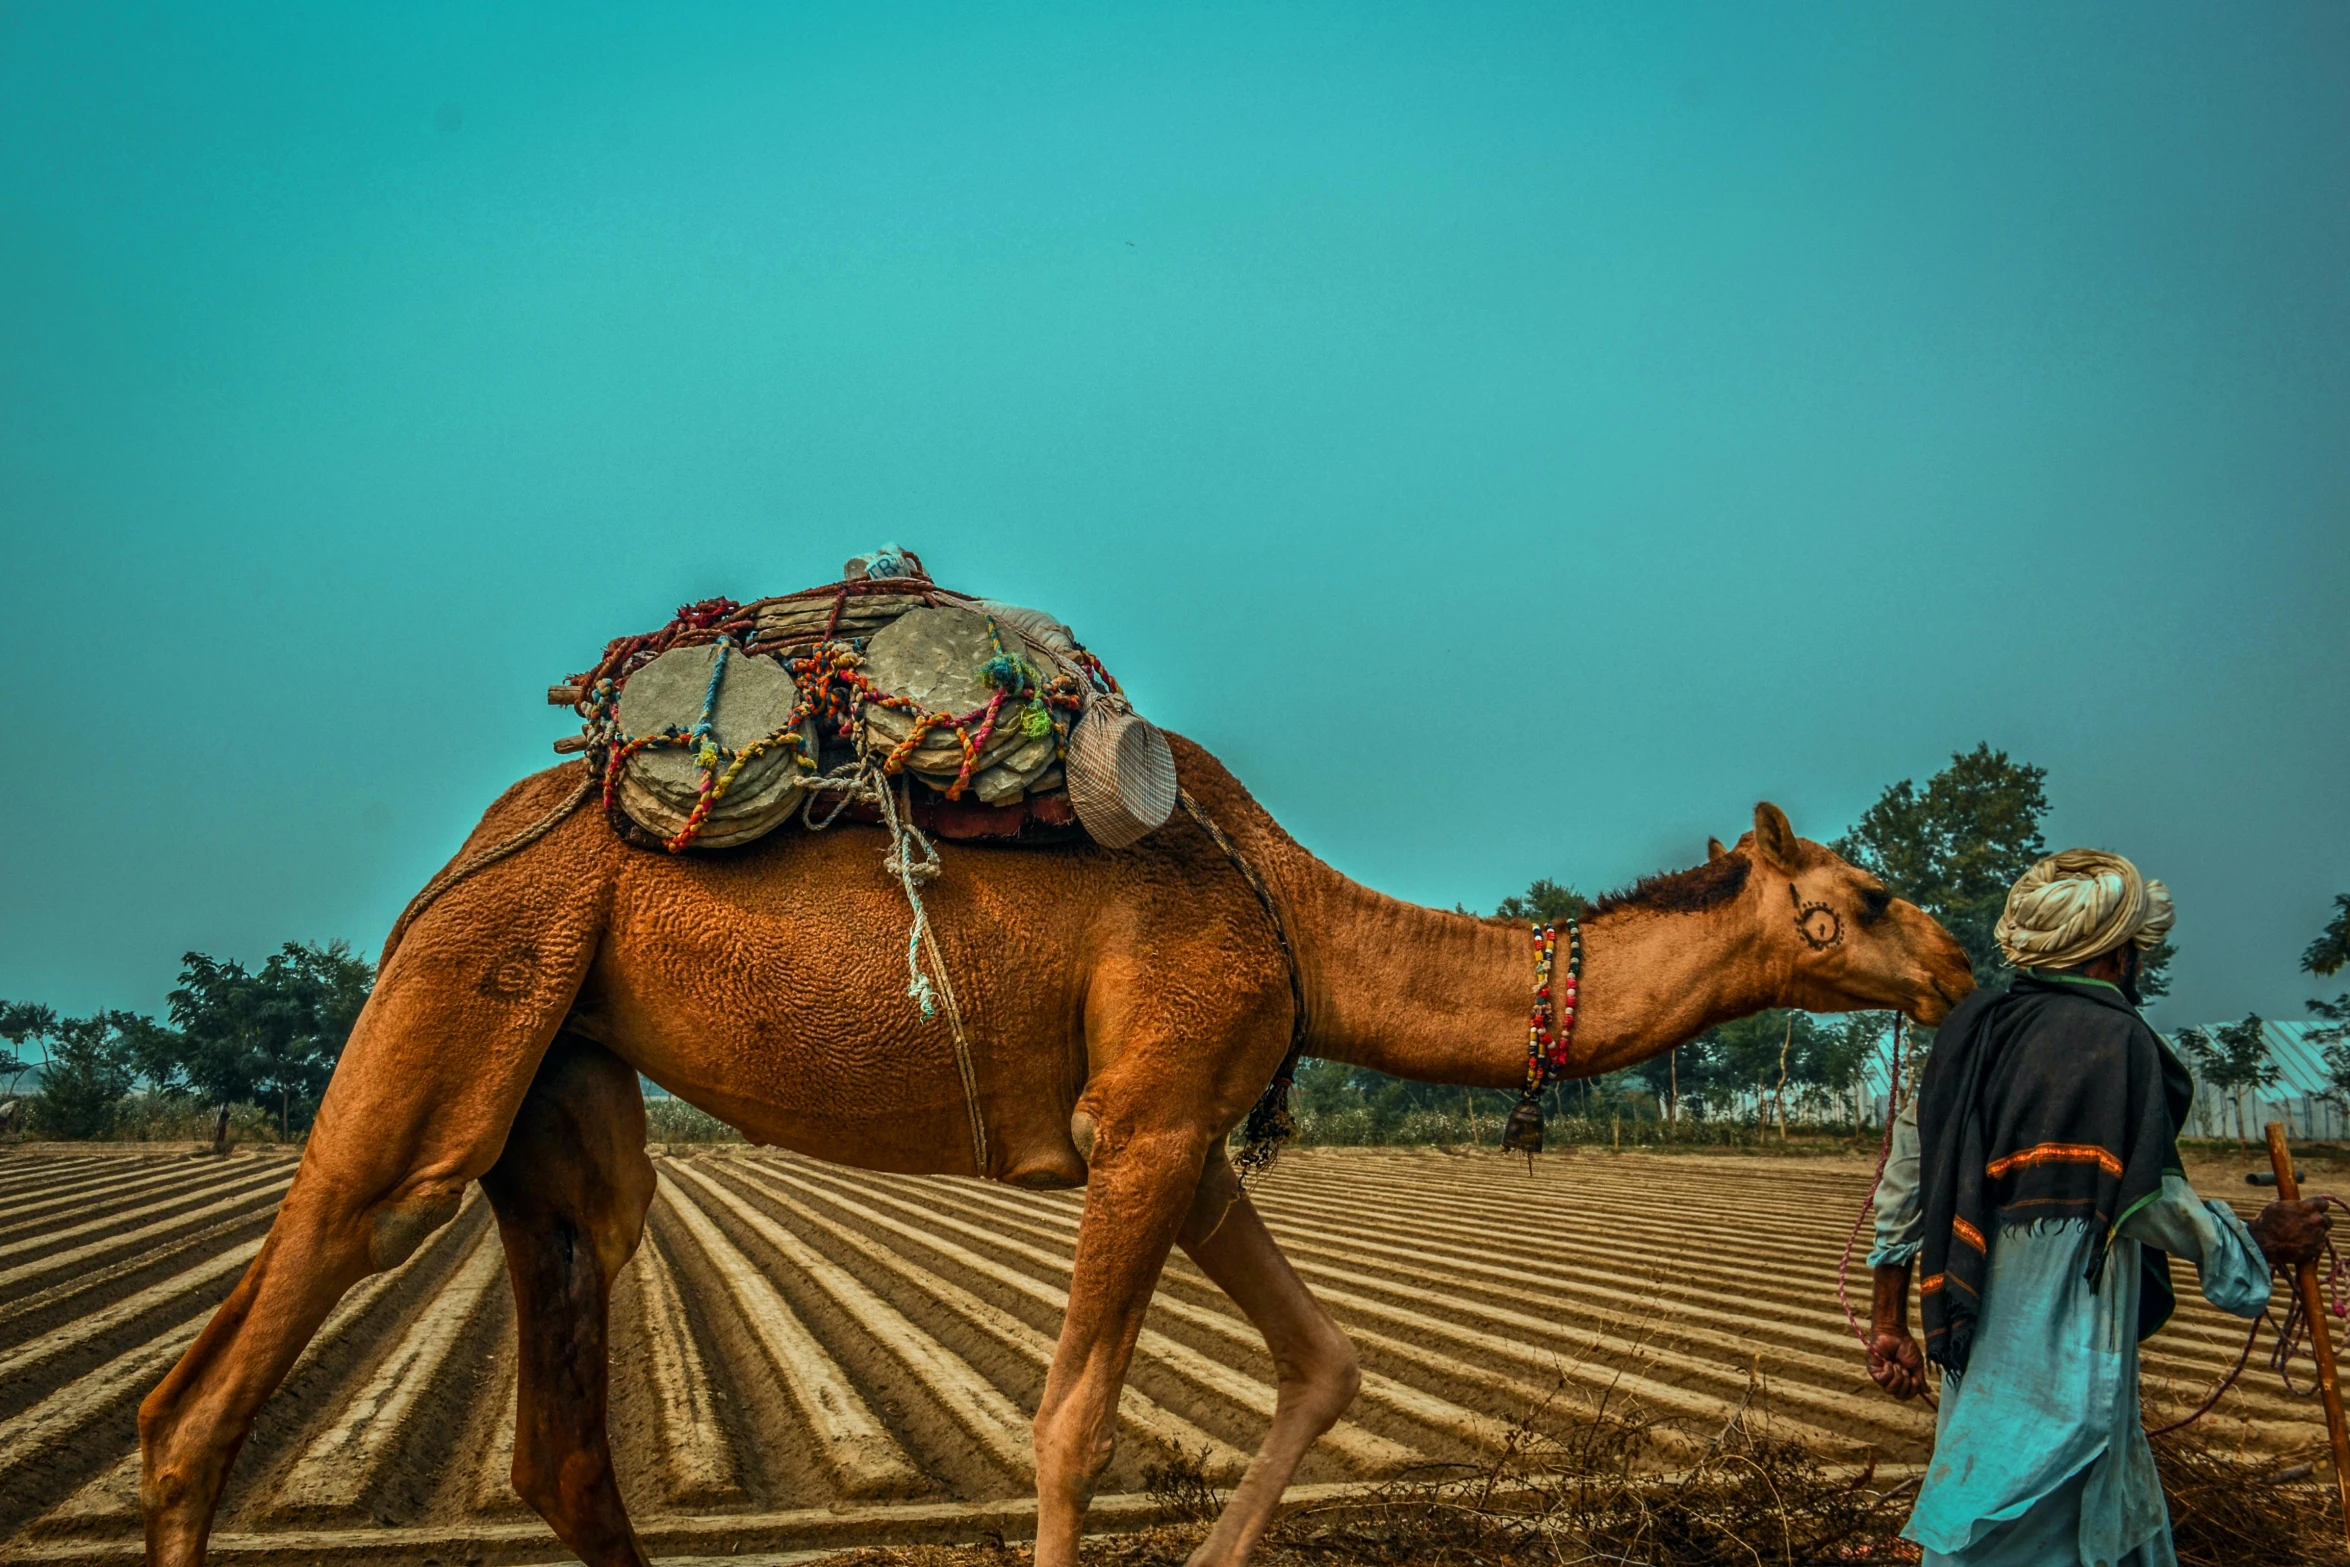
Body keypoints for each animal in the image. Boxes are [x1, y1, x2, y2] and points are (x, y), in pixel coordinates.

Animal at [137, 737, 1973, 1567]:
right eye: (1869, 891)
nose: (1958, 962)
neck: (1295, 911)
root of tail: (469, 843)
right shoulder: (1145, 1117)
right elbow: (1071, 1423)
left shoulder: (1191, 1131)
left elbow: (1327, 1362)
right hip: (464, 993)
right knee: (209, 1389)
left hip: (559, 1086)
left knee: (562, 1421)